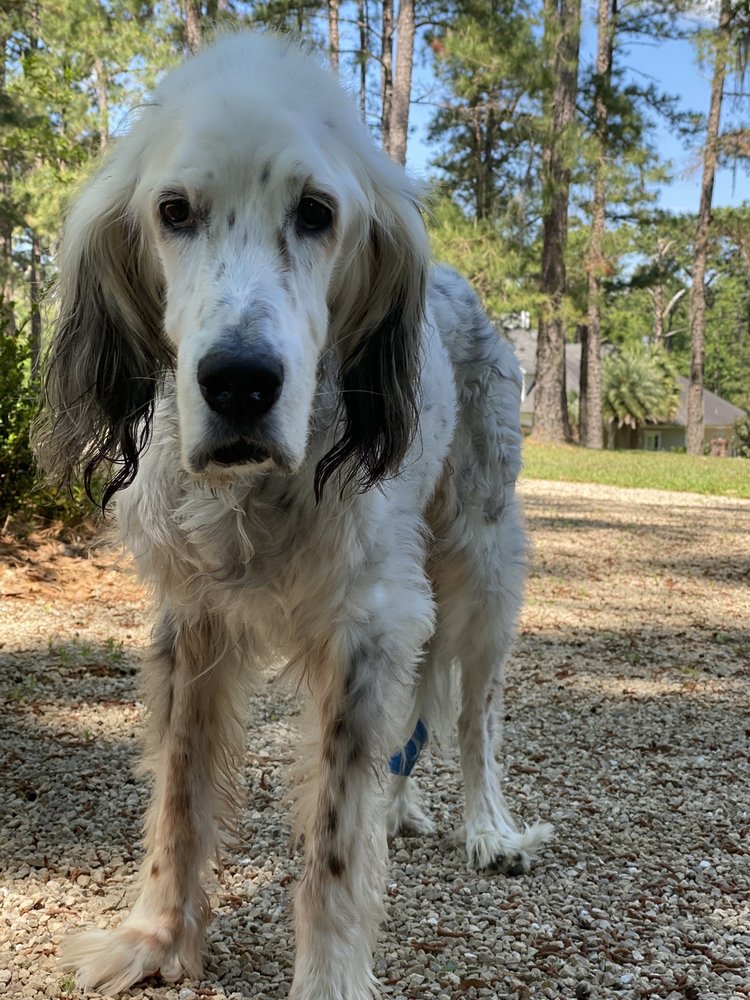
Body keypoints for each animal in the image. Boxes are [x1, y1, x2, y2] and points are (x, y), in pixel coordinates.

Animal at [34, 30, 551, 1000]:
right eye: (174, 211)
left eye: (315, 213)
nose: (240, 382)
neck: (257, 495)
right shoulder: (192, 622)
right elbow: (180, 796)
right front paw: (155, 938)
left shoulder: (365, 627)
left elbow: (336, 844)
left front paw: (330, 975)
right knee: (418, 719)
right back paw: (406, 806)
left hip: (485, 568)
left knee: (476, 716)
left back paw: (490, 827)